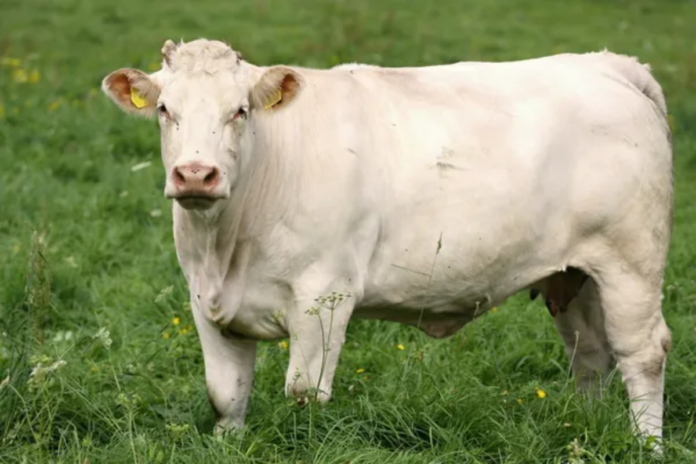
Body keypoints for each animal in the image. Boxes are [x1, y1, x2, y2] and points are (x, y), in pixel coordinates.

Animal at [101, 38, 673, 450]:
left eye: (240, 110)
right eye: (164, 109)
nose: (196, 174)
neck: (226, 248)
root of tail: (608, 64)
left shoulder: (324, 295)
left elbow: (304, 393)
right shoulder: (205, 300)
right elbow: (225, 395)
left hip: (631, 263)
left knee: (641, 352)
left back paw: (647, 445)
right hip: (573, 275)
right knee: (590, 354)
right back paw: (584, 428)